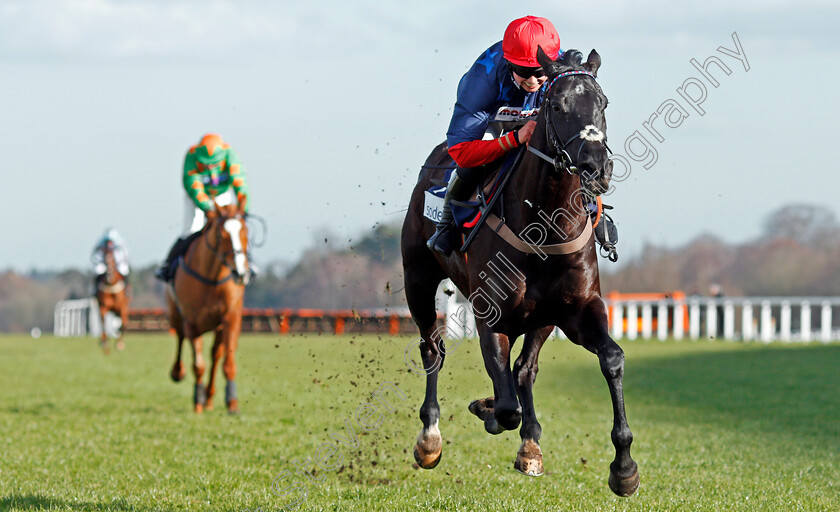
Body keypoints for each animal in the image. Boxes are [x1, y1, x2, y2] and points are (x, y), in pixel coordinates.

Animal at [167, 202, 251, 414]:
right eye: (223, 235)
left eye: (245, 231)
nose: (241, 273)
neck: (211, 279)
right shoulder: (192, 323)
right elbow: (198, 365)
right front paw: (198, 400)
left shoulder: (230, 318)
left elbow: (227, 362)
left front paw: (232, 402)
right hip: (175, 314)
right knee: (179, 338)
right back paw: (179, 373)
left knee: (216, 356)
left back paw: (210, 397)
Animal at [400, 48, 636, 496]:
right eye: (557, 106)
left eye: (603, 103)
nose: (595, 167)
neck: (544, 226)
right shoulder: (490, 316)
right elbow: (505, 403)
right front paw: (486, 408)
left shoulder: (577, 310)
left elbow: (611, 358)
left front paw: (624, 466)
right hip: (417, 281)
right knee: (432, 349)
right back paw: (430, 438)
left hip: (542, 318)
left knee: (525, 370)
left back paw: (530, 443)